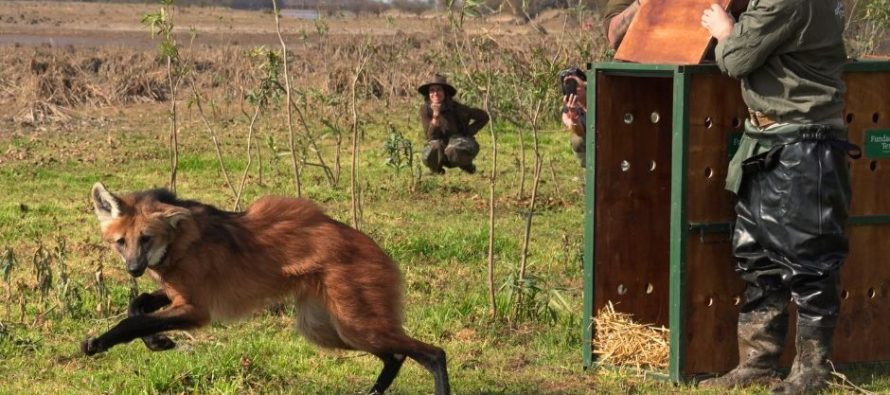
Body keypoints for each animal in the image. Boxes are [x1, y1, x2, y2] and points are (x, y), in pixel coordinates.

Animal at [81, 184, 450, 394]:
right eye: (121, 242)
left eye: (146, 239)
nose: (133, 269)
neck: (177, 242)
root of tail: (375, 246)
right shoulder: (179, 294)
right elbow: (139, 305)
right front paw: (158, 342)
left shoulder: (195, 308)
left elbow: (133, 320)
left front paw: (96, 343)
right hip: (325, 328)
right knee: (395, 354)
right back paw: (373, 392)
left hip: (352, 322)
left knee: (433, 353)